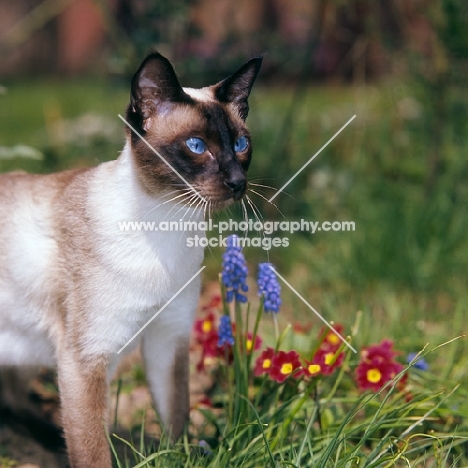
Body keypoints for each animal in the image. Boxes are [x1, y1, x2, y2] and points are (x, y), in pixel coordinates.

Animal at [0, 52, 264, 468]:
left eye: (240, 144)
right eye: (196, 145)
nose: (238, 182)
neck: (169, 224)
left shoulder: (167, 338)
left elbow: (176, 418)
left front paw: (181, 457)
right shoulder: (85, 359)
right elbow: (92, 453)